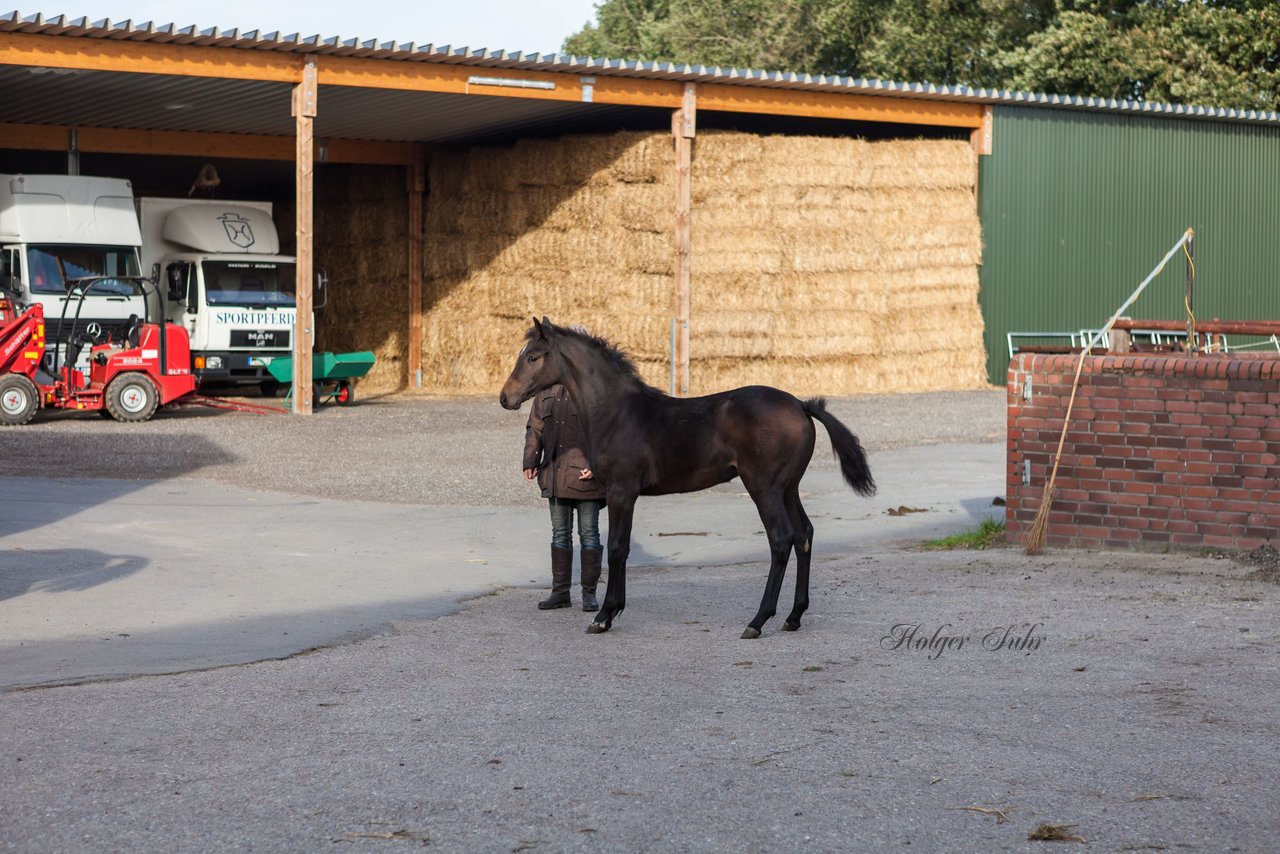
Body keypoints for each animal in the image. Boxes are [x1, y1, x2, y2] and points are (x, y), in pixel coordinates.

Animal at [494, 317, 875, 637]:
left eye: (533, 357)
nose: (505, 397)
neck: (617, 413)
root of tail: (800, 405)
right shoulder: (626, 495)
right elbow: (624, 547)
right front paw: (614, 610)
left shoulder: (621, 491)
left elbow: (615, 548)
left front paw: (603, 616)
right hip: (788, 487)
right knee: (804, 534)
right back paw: (794, 617)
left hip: (763, 487)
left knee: (781, 539)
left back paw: (758, 620)